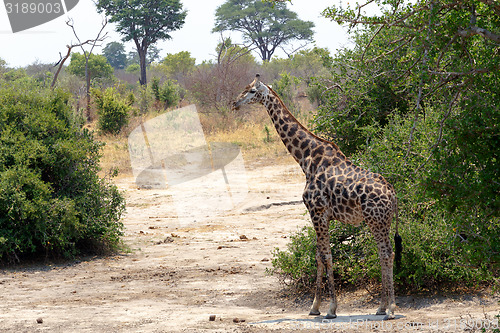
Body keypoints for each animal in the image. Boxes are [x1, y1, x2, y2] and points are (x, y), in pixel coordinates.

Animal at [233, 73, 402, 320]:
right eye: (244, 89)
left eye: (252, 91)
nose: (235, 103)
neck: (305, 159)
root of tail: (393, 194)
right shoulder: (320, 215)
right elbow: (318, 255)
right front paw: (314, 307)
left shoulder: (318, 212)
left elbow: (326, 256)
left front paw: (331, 309)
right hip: (381, 221)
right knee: (383, 254)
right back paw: (380, 307)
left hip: (376, 220)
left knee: (387, 254)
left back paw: (390, 308)